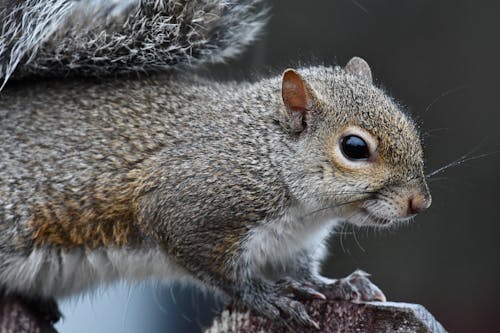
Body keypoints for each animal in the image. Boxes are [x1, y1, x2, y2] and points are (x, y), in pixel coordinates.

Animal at [0, 0, 430, 328]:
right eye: (354, 147)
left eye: (407, 123)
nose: (420, 203)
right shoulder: (190, 212)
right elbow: (220, 271)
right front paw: (265, 297)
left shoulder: (294, 243)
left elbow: (302, 272)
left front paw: (334, 286)